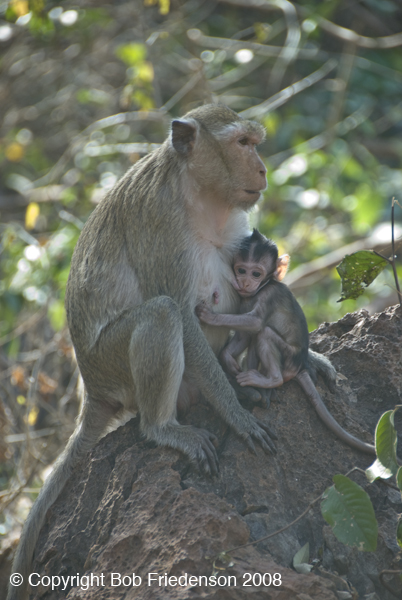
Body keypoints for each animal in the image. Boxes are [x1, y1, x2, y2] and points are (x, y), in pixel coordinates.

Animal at [8, 108, 336, 600]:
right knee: (161, 315)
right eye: (242, 143)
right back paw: (166, 427)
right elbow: (180, 310)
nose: (262, 170)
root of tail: (91, 388)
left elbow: (247, 296)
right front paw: (235, 415)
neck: (197, 194)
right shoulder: (159, 222)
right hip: (113, 367)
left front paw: (306, 359)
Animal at [196, 230, 376, 454]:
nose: (245, 282)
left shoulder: (268, 295)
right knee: (256, 338)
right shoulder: (244, 299)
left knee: (264, 334)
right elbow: (245, 333)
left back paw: (271, 380)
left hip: (288, 358)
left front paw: (209, 317)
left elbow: (255, 323)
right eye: (241, 270)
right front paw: (227, 358)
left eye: (256, 274)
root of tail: (300, 366)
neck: (264, 286)